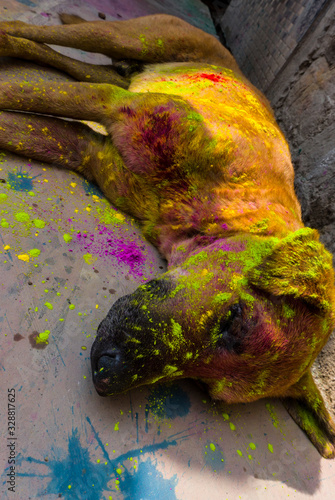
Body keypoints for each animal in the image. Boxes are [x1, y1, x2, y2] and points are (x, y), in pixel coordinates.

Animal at [0, 12, 335, 458]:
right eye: (235, 319)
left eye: (205, 387)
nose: (106, 375)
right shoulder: (113, 105)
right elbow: (17, 93)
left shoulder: (84, 149)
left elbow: (18, 122)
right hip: (133, 37)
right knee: (38, 33)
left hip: (120, 68)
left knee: (65, 61)